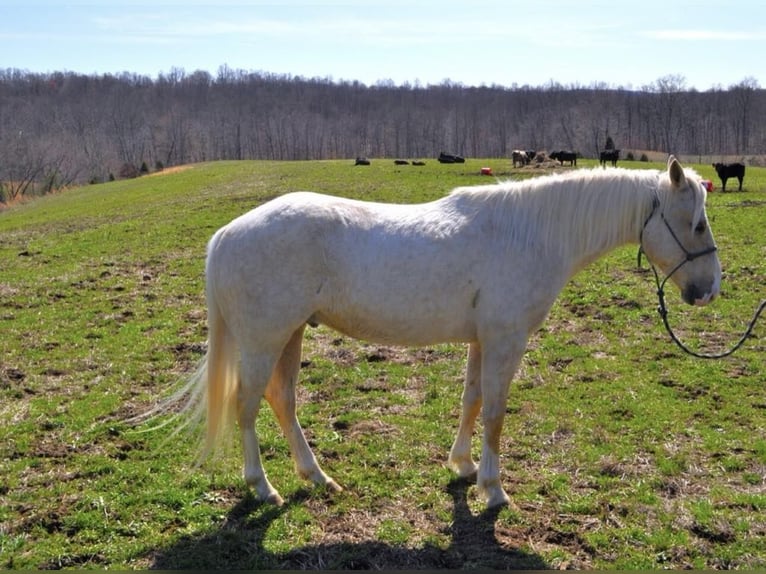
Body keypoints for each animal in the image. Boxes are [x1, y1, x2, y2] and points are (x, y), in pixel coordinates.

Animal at [171, 156, 724, 508]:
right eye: (697, 224)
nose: (709, 290)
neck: (529, 234)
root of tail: (226, 234)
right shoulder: (506, 340)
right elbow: (496, 413)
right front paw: (494, 490)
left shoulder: (483, 340)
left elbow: (472, 401)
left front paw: (463, 467)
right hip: (264, 339)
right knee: (246, 406)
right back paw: (263, 487)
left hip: (288, 336)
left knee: (281, 400)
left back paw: (318, 477)